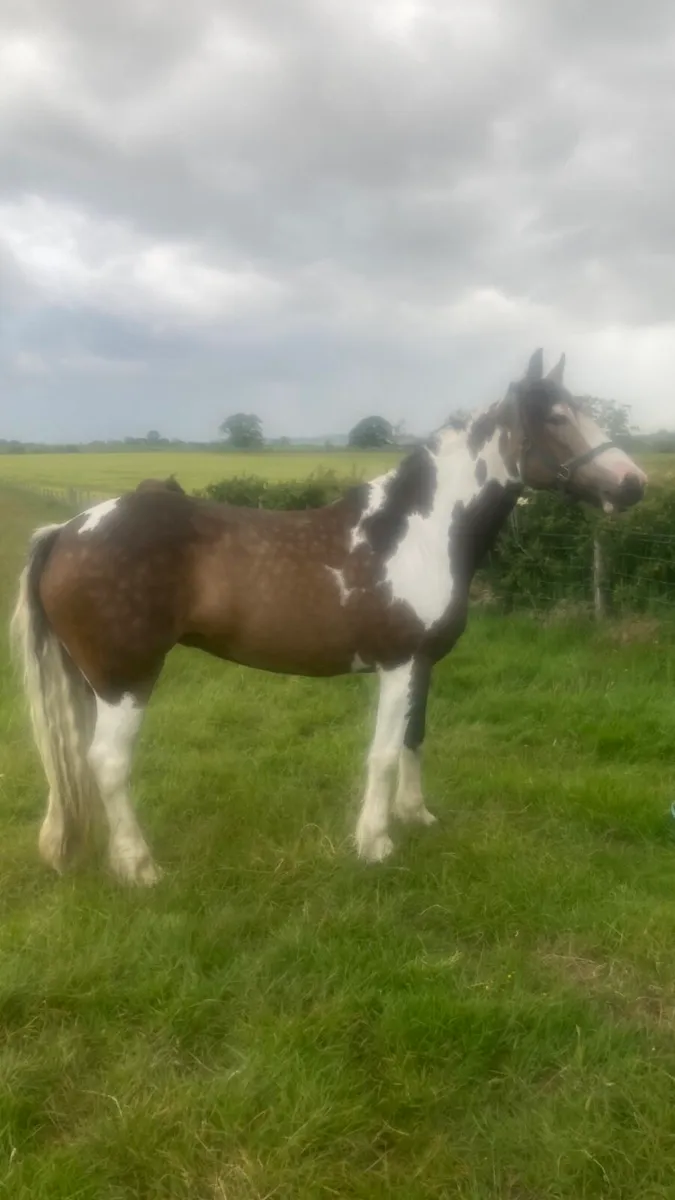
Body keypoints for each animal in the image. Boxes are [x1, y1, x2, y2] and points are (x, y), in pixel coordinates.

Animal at [10, 350, 647, 885]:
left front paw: (416, 817)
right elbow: (383, 754)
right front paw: (375, 843)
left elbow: (415, 738)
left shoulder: (423, 664)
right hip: (128, 680)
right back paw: (140, 869)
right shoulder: (398, 663)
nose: (634, 485)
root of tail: (68, 530)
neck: (414, 536)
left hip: (93, 682)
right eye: (558, 418)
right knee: (108, 763)